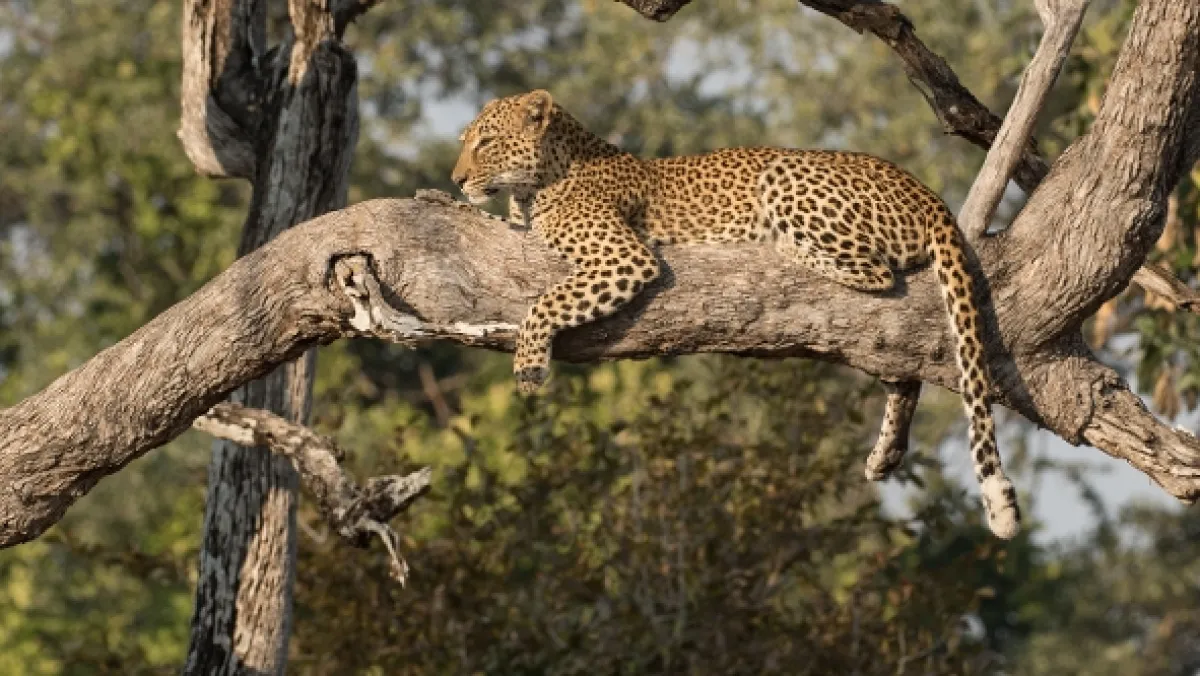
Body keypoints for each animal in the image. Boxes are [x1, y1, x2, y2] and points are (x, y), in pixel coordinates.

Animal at [451, 89, 1020, 539]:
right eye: (465, 140)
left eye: (485, 142)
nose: (455, 180)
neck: (538, 185)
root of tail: (925, 191)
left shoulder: (625, 256)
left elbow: (543, 302)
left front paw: (528, 366)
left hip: (786, 174)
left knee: (876, 273)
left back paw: (777, 243)